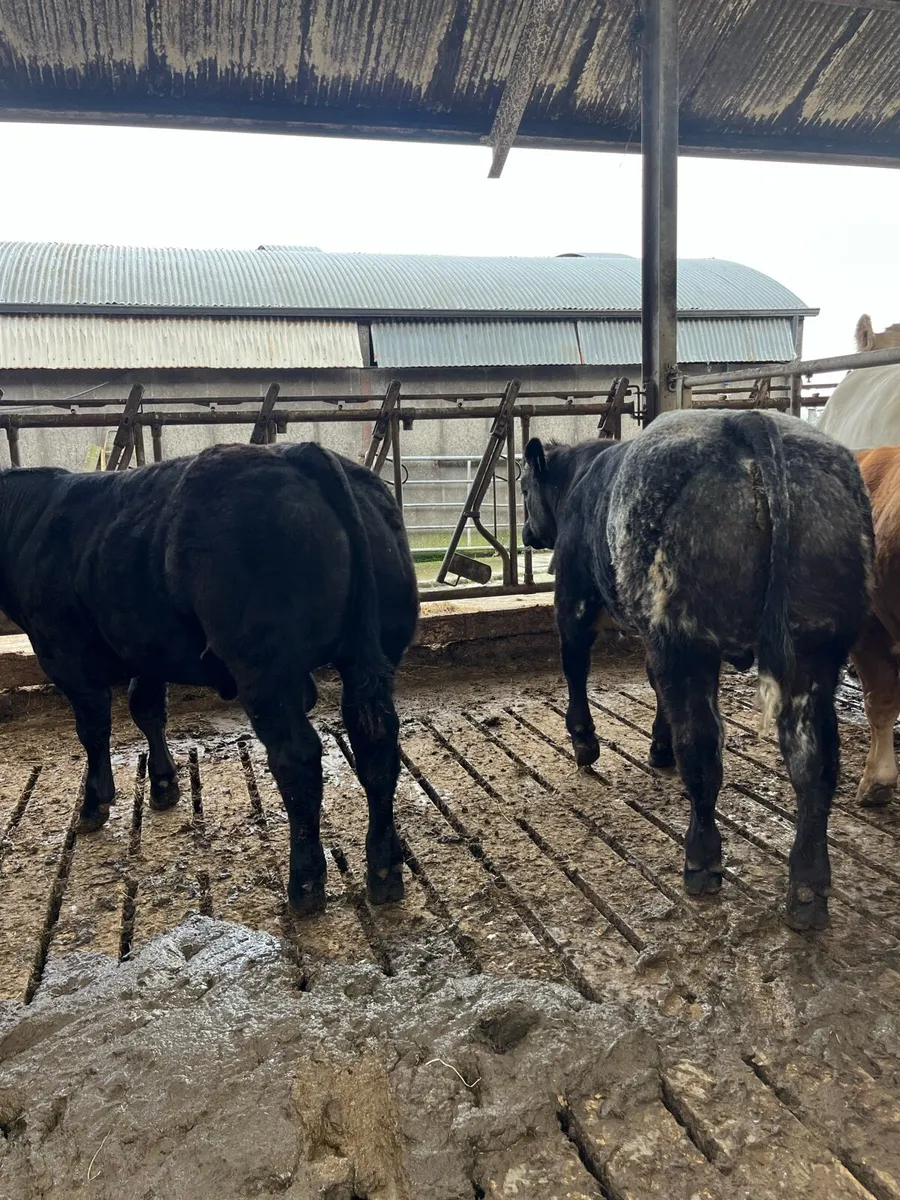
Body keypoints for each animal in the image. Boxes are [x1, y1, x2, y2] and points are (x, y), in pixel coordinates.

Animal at [0, 442, 419, 914]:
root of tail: (300, 452)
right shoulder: (147, 649)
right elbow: (147, 710)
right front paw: (164, 785)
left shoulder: (64, 657)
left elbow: (93, 732)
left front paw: (93, 805)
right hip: (377, 648)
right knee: (377, 746)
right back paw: (385, 870)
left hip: (265, 669)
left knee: (298, 757)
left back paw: (306, 883)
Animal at [521, 410, 873, 932]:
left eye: (523, 487)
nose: (528, 535)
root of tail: (748, 420)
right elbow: (652, 683)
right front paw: (657, 744)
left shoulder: (576, 601)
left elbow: (576, 666)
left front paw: (586, 743)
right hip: (815, 647)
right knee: (816, 763)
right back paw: (808, 891)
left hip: (686, 638)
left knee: (704, 751)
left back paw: (701, 862)